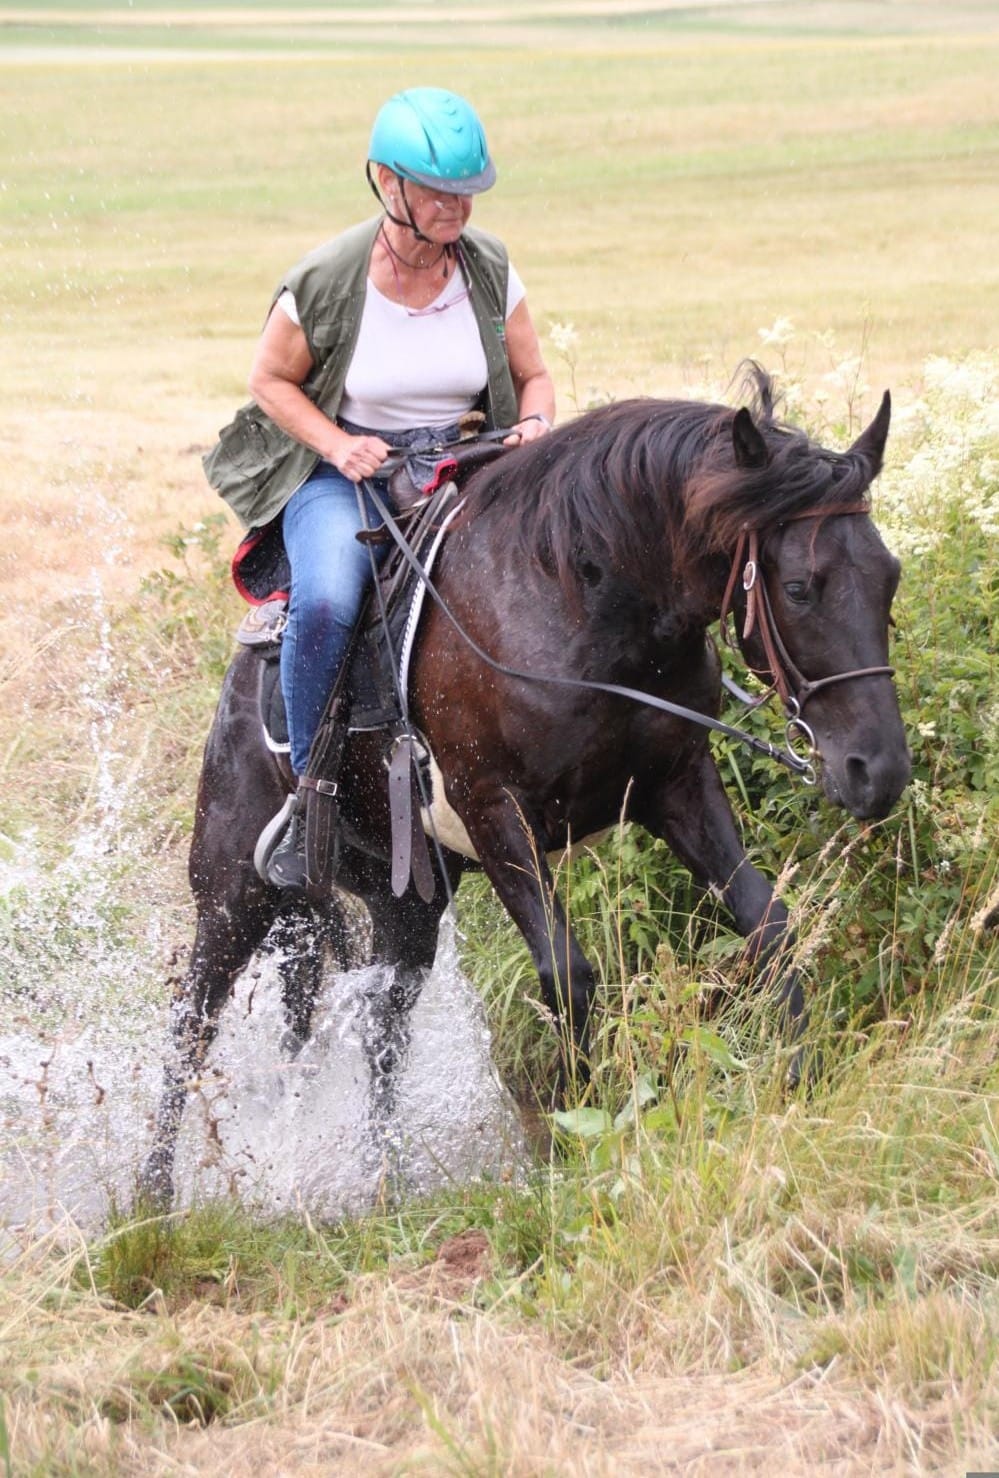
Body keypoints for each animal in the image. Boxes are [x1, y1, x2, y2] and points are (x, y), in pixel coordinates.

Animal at [141, 366, 910, 1204]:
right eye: (799, 588)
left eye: (890, 578)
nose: (876, 772)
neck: (584, 607)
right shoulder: (494, 812)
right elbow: (567, 975)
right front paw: (577, 1142)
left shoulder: (676, 785)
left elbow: (768, 926)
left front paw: (802, 1083)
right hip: (232, 893)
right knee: (190, 1020)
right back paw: (151, 1197)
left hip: (404, 902)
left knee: (382, 1026)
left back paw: (381, 1175)